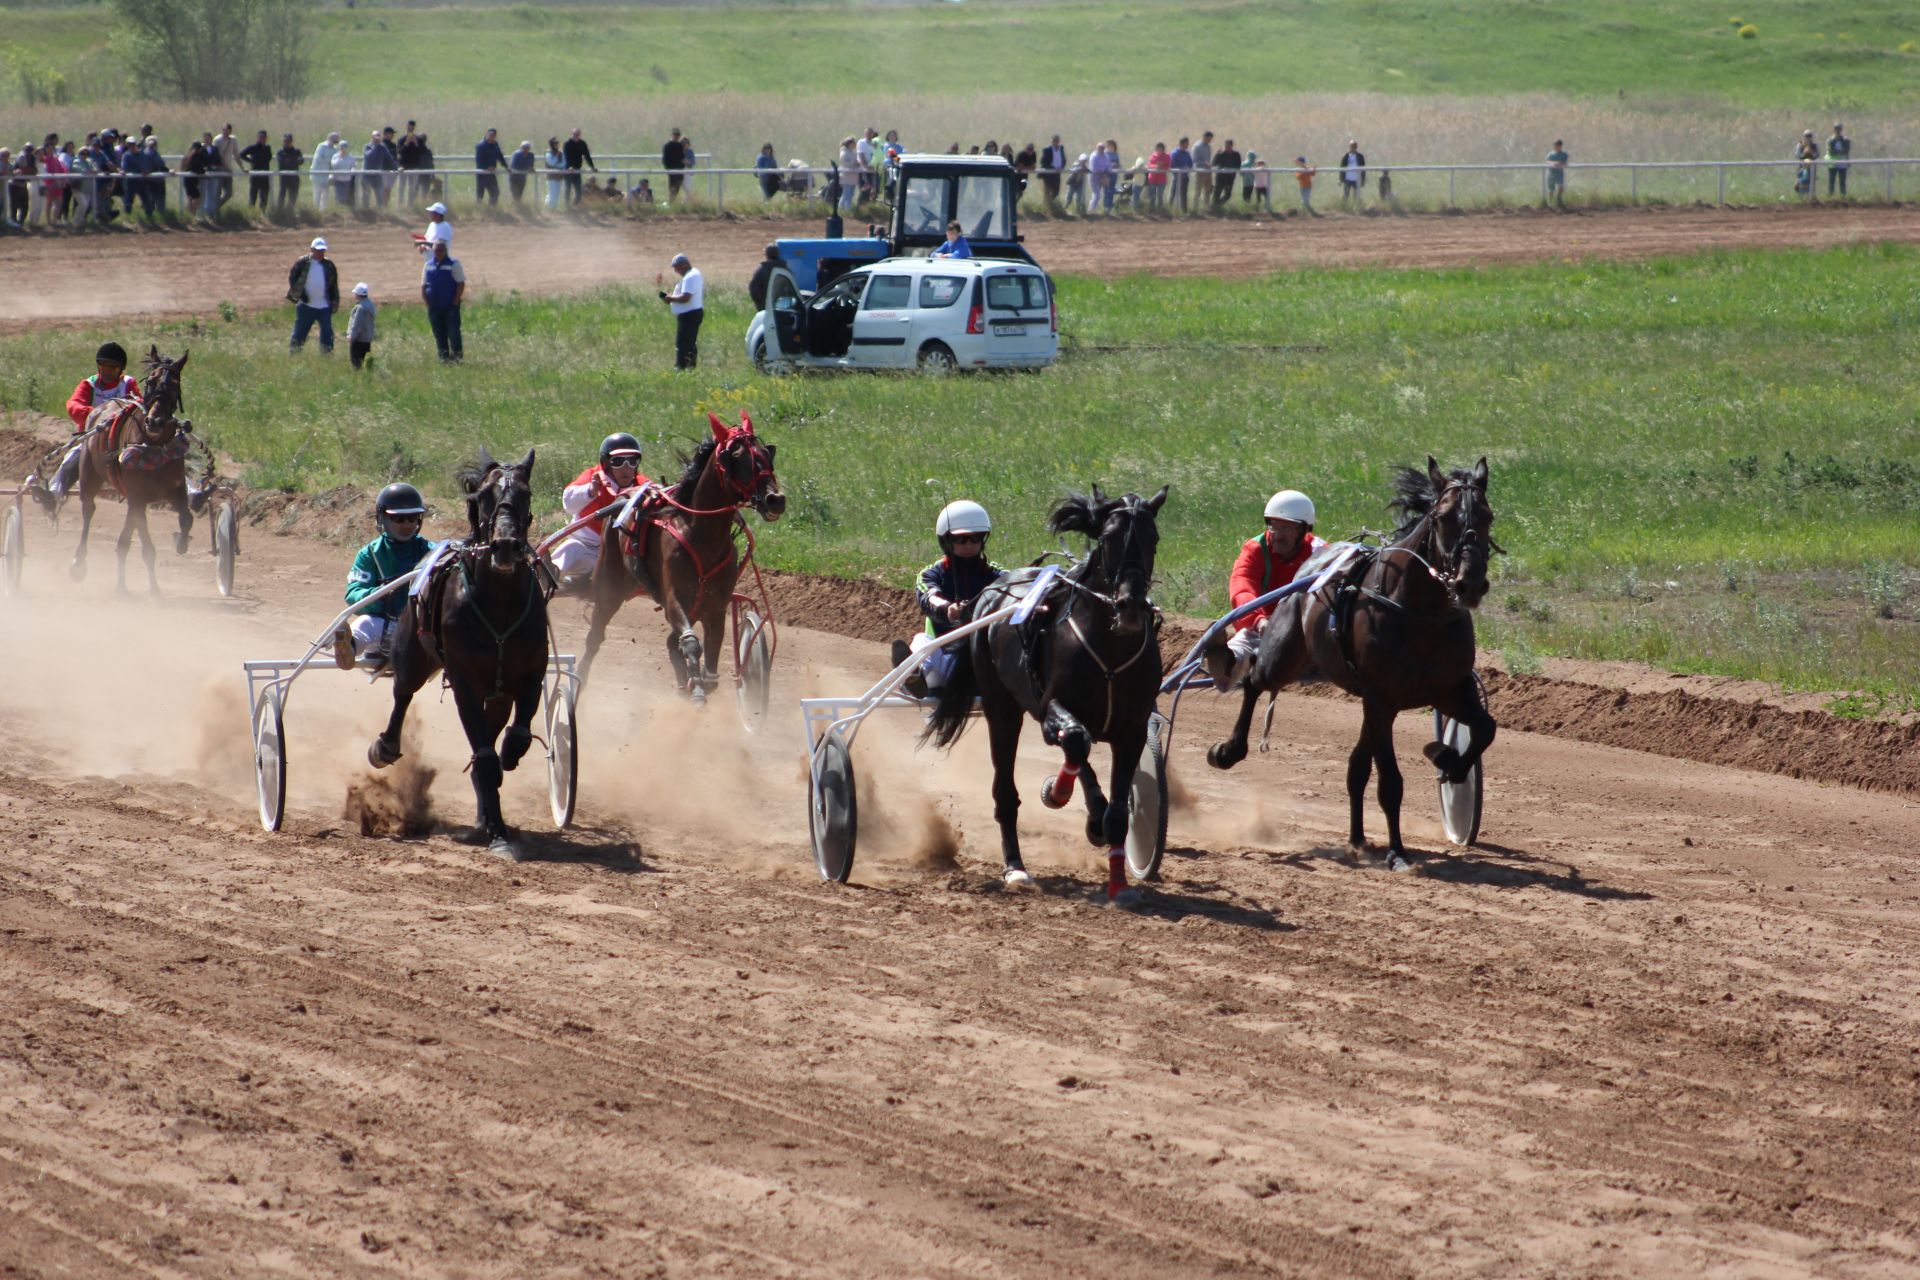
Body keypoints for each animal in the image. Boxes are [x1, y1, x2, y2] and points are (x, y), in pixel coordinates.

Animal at [70, 347, 192, 594]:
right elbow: (147, 547)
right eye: (151, 381)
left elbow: (186, 518)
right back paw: (79, 563)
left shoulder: (175, 490)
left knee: (124, 537)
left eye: (175, 383)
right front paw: (154, 590)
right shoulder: (137, 496)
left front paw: (180, 542)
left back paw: (121, 585)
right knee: (88, 510)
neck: (154, 447)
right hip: (89, 475)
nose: (155, 421)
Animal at [368, 449, 552, 859]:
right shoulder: (465, 681)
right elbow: (483, 757)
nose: (505, 545)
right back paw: (385, 746)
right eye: (483, 495)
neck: (500, 605)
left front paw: (508, 760)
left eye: (526, 493)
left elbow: (515, 735)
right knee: (402, 694)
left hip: (496, 695)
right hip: (413, 657)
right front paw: (498, 834)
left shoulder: (531, 674)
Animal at [572, 412, 783, 702]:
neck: (701, 536)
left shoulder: (715, 606)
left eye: (766, 453)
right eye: (737, 457)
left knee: (671, 641)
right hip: (609, 586)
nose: (776, 499)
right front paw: (697, 692)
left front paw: (703, 681)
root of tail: (624, 496)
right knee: (595, 637)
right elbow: (691, 643)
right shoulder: (676, 597)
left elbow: (710, 654)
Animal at [917, 487, 1167, 901]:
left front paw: (1118, 883)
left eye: (1153, 538)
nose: (1129, 606)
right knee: (1008, 789)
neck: (1111, 650)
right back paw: (1015, 867)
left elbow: (1116, 812)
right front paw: (1056, 791)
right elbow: (1076, 741)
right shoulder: (1051, 703)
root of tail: (990, 593)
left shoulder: (1132, 730)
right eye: (1107, 539)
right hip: (1002, 708)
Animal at [1198, 454, 1497, 875]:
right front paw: (1398, 852)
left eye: (1487, 516)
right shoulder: (1381, 697)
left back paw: (1358, 839)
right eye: (1442, 517)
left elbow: (1485, 729)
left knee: (1356, 768)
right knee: (1255, 680)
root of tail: (1313, 563)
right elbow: (1390, 783)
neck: (1421, 612)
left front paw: (1447, 760)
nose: (1469, 583)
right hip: (1285, 655)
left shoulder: (1449, 690)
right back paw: (1228, 750)